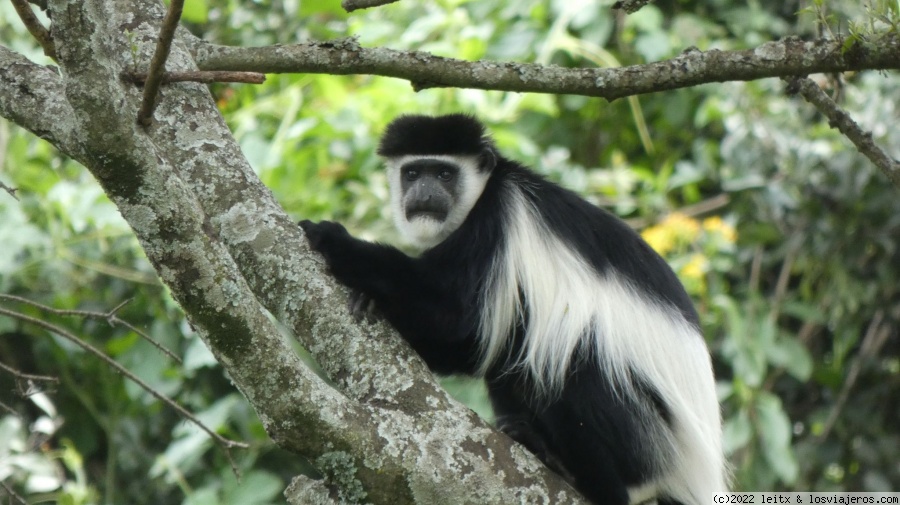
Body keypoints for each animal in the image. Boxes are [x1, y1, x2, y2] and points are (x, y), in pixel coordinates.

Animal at [298, 114, 728, 504]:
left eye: (444, 173)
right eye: (413, 172)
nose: (423, 191)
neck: (484, 194)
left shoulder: (495, 226)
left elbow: (462, 327)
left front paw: (335, 240)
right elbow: (467, 343)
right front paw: (370, 299)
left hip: (648, 438)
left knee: (573, 362)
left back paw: (592, 480)